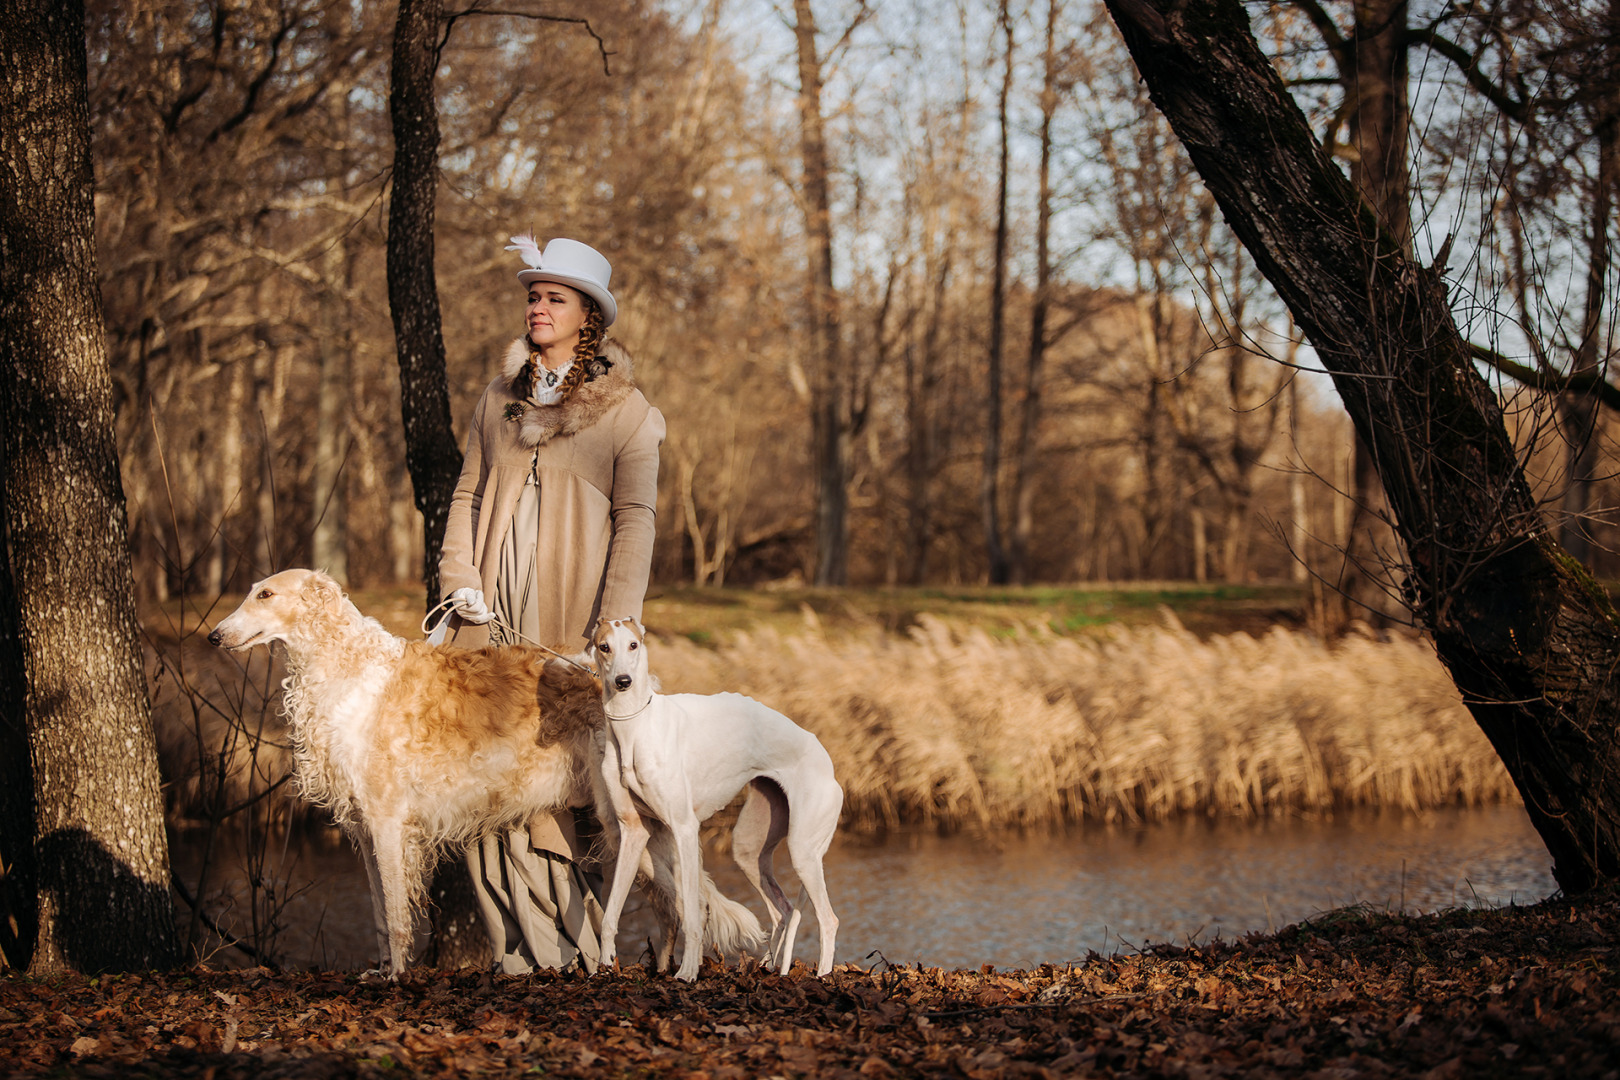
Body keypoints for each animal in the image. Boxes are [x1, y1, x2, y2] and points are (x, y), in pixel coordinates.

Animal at [205, 569, 754, 977]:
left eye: (265, 594)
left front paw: (397, 979)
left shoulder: (388, 823)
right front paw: (379, 972)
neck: (349, 672)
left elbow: (397, 918)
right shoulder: (362, 828)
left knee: (676, 895)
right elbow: (380, 916)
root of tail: (640, 686)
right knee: (670, 900)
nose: (213, 635)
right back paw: (662, 967)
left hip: (621, 820)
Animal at [596, 615, 848, 977]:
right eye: (604, 646)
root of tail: (826, 760)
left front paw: (687, 973)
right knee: (783, 910)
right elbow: (610, 914)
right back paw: (768, 967)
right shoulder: (633, 832)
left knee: (828, 919)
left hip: (803, 850)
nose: (622, 682)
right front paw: (602, 967)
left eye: (633, 645)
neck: (635, 725)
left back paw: (823, 975)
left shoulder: (685, 829)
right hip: (748, 849)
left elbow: (693, 912)